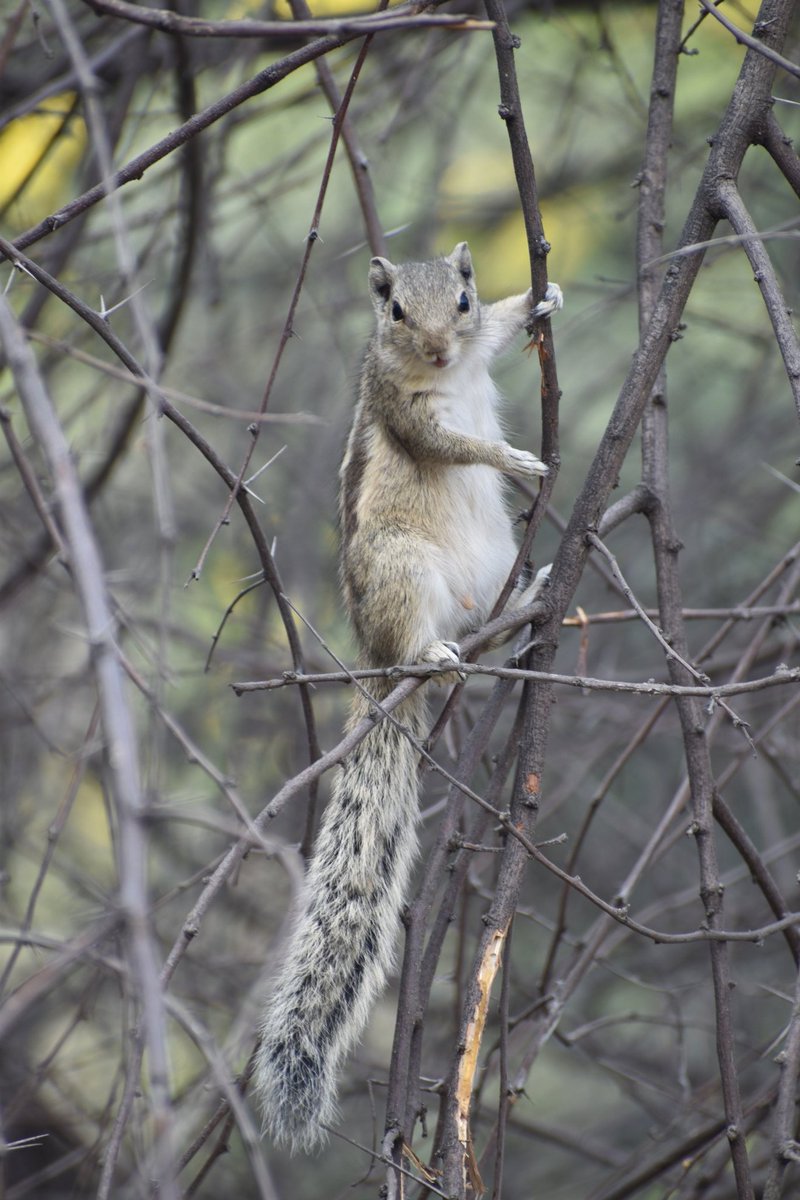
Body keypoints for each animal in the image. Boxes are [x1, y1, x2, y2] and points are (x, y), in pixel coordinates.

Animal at [254, 242, 562, 1153]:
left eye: (461, 299)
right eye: (394, 312)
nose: (432, 347)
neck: (443, 371)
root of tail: (378, 658)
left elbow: (505, 326)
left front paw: (540, 301)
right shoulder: (402, 410)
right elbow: (443, 441)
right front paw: (514, 461)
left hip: (483, 578)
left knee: (491, 633)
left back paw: (529, 603)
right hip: (402, 572)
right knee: (437, 654)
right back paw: (440, 653)